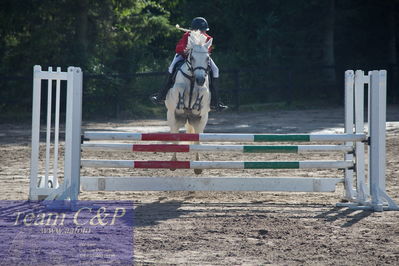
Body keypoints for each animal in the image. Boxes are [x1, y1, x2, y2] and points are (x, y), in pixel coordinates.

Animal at [164, 30, 212, 175]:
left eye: (207, 58)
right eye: (192, 58)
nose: (200, 79)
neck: (192, 78)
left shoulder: (204, 90)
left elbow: (202, 92)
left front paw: (196, 104)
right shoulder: (177, 88)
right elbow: (180, 88)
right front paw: (181, 103)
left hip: (201, 121)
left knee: (197, 141)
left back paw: (198, 167)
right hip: (173, 118)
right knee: (175, 139)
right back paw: (173, 163)